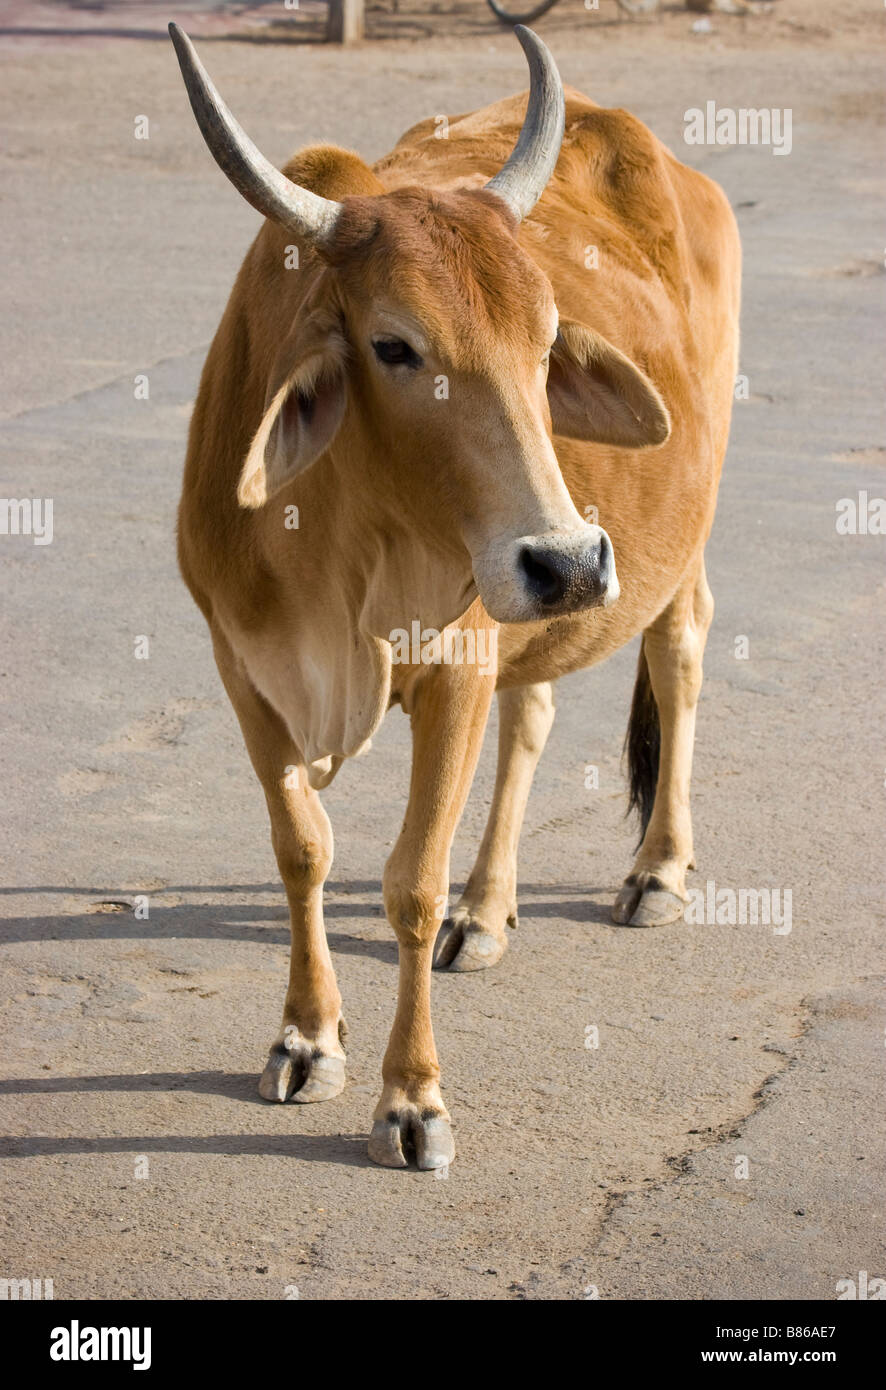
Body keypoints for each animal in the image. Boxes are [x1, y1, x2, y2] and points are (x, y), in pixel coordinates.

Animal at [168, 24, 734, 1173]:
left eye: (547, 338)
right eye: (393, 345)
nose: (567, 560)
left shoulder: (455, 670)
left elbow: (408, 883)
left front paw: (413, 1101)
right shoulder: (242, 669)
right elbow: (301, 850)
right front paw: (306, 1037)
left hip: (674, 540)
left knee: (679, 652)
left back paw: (655, 872)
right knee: (535, 712)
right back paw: (489, 907)